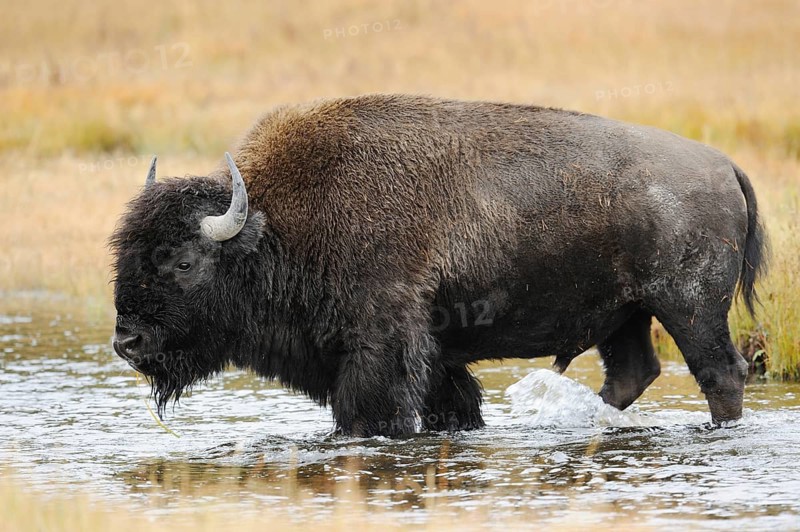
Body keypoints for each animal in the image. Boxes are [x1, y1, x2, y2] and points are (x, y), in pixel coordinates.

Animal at [111, 94, 766, 437]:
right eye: (123, 254)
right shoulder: (438, 362)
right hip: (626, 316)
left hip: (688, 308)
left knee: (721, 373)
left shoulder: (380, 349)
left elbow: (369, 412)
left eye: (185, 262)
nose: (126, 341)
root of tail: (723, 165)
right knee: (632, 373)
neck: (277, 225)